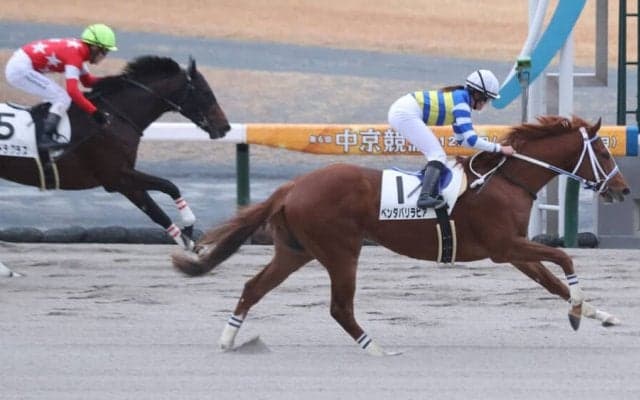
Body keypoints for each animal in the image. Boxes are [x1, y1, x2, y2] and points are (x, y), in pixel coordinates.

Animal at [0, 55, 230, 250]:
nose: (225, 127)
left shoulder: (123, 180)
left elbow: (157, 209)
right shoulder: (116, 176)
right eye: (206, 93)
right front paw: (189, 231)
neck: (114, 117)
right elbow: (168, 189)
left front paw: (187, 239)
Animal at [173, 115, 630, 355]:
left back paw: (228, 339)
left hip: (295, 250)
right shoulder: (504, 247)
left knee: (253, 286)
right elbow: (565, 259)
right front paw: (577, 313)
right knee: (339, 307)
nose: (623, 190)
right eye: (603, 152)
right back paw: (376, 348)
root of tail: (292, 186)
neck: (507, 180)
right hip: (341, 251)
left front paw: (599, 314)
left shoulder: (514, 251)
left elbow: (553, 282)